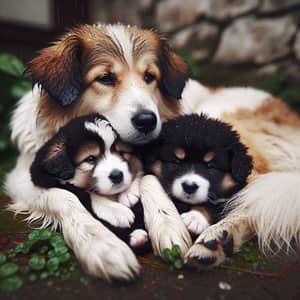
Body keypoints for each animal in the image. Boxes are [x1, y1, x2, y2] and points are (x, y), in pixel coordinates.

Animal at [29, 113, 149, 252]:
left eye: (121, 152)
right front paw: (118, 212)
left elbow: (138, 167)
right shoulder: (43, 178)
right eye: (90, 159)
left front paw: (128, 193)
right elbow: (87, 194)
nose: (117, 175)